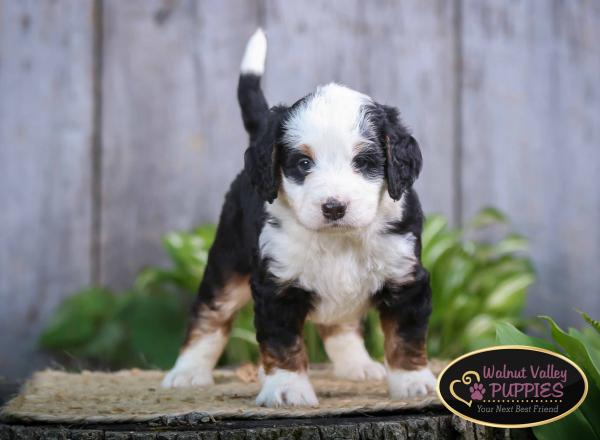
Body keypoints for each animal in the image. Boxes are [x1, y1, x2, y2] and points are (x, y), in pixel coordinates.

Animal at [163, 29, 436, 408]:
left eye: (363, 163)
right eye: (304, 163)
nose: (334, 207)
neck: (339, 239)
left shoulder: (405, 277)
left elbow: (406, 334)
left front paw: (412, 382)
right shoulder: (277, 284)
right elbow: (282, 341)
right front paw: (286, 388)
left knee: (338, 325)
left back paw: (357, 365)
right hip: (228, 261)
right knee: (210, 313)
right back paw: (188, 372)